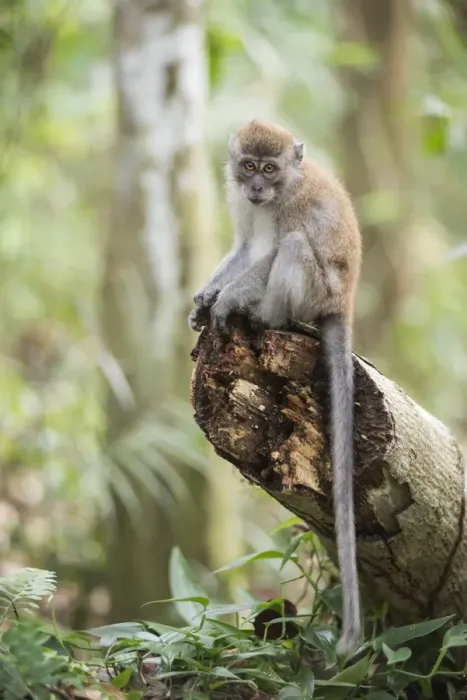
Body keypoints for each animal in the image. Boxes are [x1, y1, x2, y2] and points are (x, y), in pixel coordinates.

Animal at [189, 120, 362, 656]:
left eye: (270, 169)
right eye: (248, 167)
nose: (257, 188)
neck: (279, 192)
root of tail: (344, 304)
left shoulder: (292, 206)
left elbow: (266, 255)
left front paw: (227, 300)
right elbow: (246, 246)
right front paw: (206, 295)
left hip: (316, 292)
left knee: (293, 248)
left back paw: (264, 315)